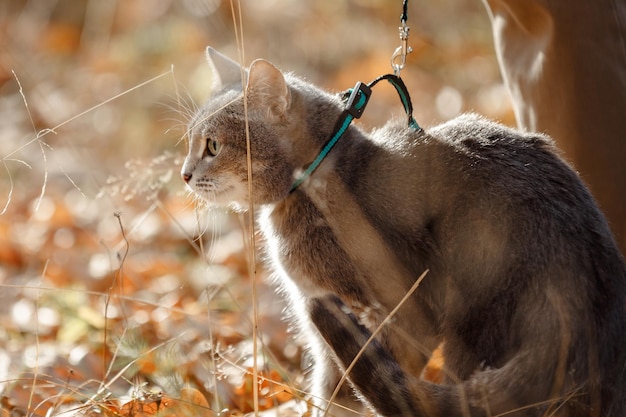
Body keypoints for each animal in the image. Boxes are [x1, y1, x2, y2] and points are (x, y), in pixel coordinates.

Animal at [180, 46, 624, 416]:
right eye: (189, 142)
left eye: (213, 146)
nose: (184, 174)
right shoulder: (324, 314)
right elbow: (332, 388)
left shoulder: (401, 313)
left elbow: (357, 387)